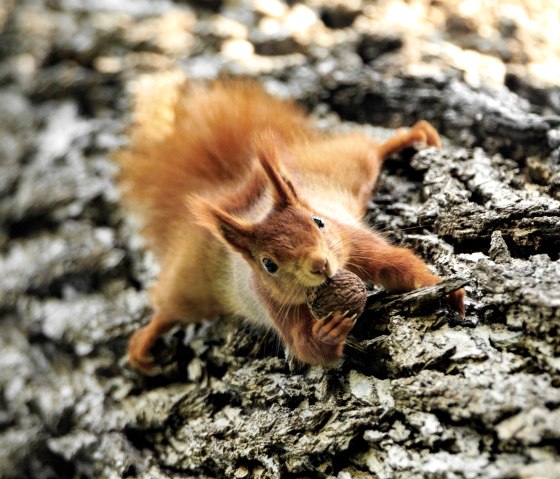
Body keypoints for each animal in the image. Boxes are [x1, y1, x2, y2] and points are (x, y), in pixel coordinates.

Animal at [117, 76, 464, 376]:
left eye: (318, 222)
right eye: (268, 264)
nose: (320, 264)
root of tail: (235, 189)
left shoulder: (352, 242)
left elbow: (397, 264)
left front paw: (443, 288)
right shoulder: (275, 304)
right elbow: (304, 347)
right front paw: (327, 333)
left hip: (339, 169)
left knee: (367, 151)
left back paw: (413, 135)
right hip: (192, 283)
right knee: (171, 308)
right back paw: (146, 339)